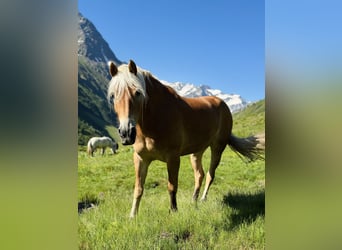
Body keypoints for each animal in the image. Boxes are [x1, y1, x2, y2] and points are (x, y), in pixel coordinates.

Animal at [107, 60, 264, 217]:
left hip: (217, 148)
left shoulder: (173, 158)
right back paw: (193, 200)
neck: (155, 119)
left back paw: (202, 199)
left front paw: (173, 211)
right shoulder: (140, 158)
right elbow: (138, 188)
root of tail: (222, 104)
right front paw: (132, 216)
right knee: (199, 174)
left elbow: (172, 186)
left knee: (210, 175)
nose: (126, 133)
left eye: (138, 92)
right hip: (196, 152)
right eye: (113, 95)